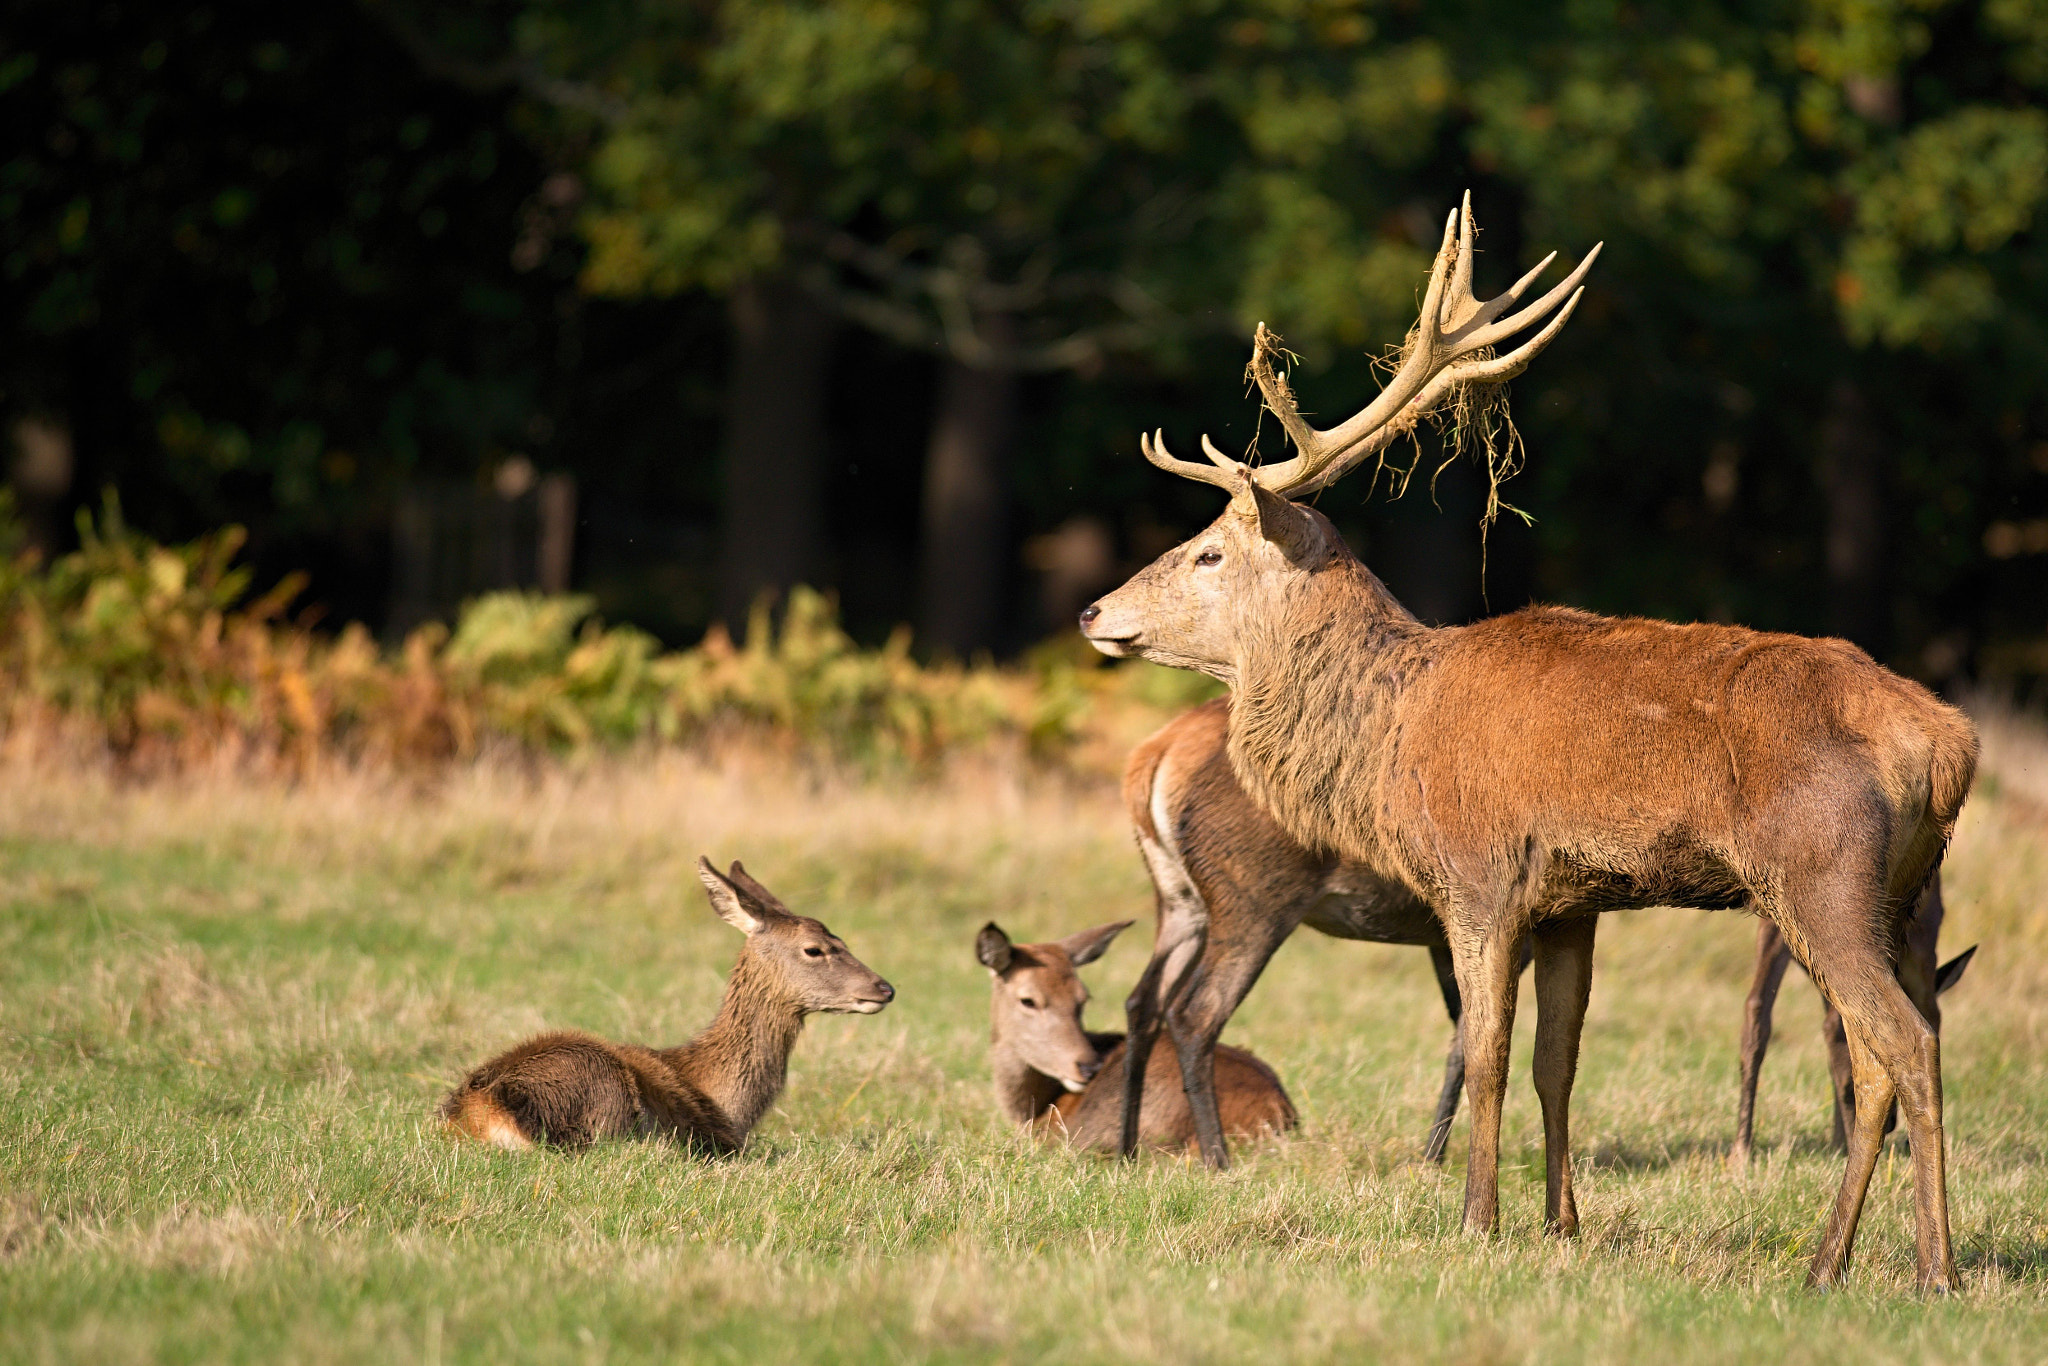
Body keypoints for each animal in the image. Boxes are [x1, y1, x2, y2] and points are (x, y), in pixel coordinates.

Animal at [1081, 194, 1974, 1294]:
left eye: (1209, 549)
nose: (1093, 609)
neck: (1390, 733)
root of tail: (1947, 743)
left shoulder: (1478, 873)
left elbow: (1486, 1053)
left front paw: (1474, 1222)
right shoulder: (1571, 904)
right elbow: (1558, 1061)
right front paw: (1561, 1225)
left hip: (1819, 872)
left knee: (1901, 1042)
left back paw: (1927, 1268)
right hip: (1900, 892)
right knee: (1896, 1041)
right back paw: (1831, 1260)